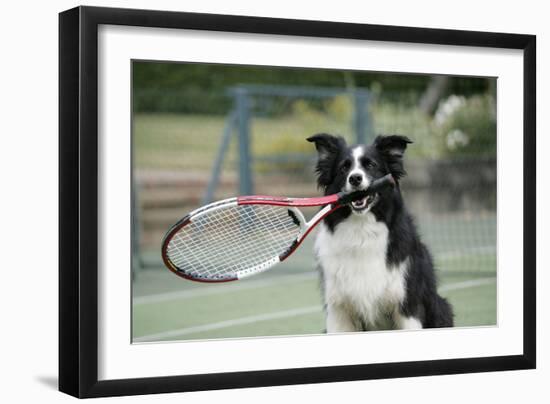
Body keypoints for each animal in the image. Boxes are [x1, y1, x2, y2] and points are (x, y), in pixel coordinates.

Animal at [308, 133, 454, 332]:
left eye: (371, 165)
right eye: (344, 168)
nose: (355, 178)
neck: (361, 231)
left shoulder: (407, 306)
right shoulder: (339, 311)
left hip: (441, 308)